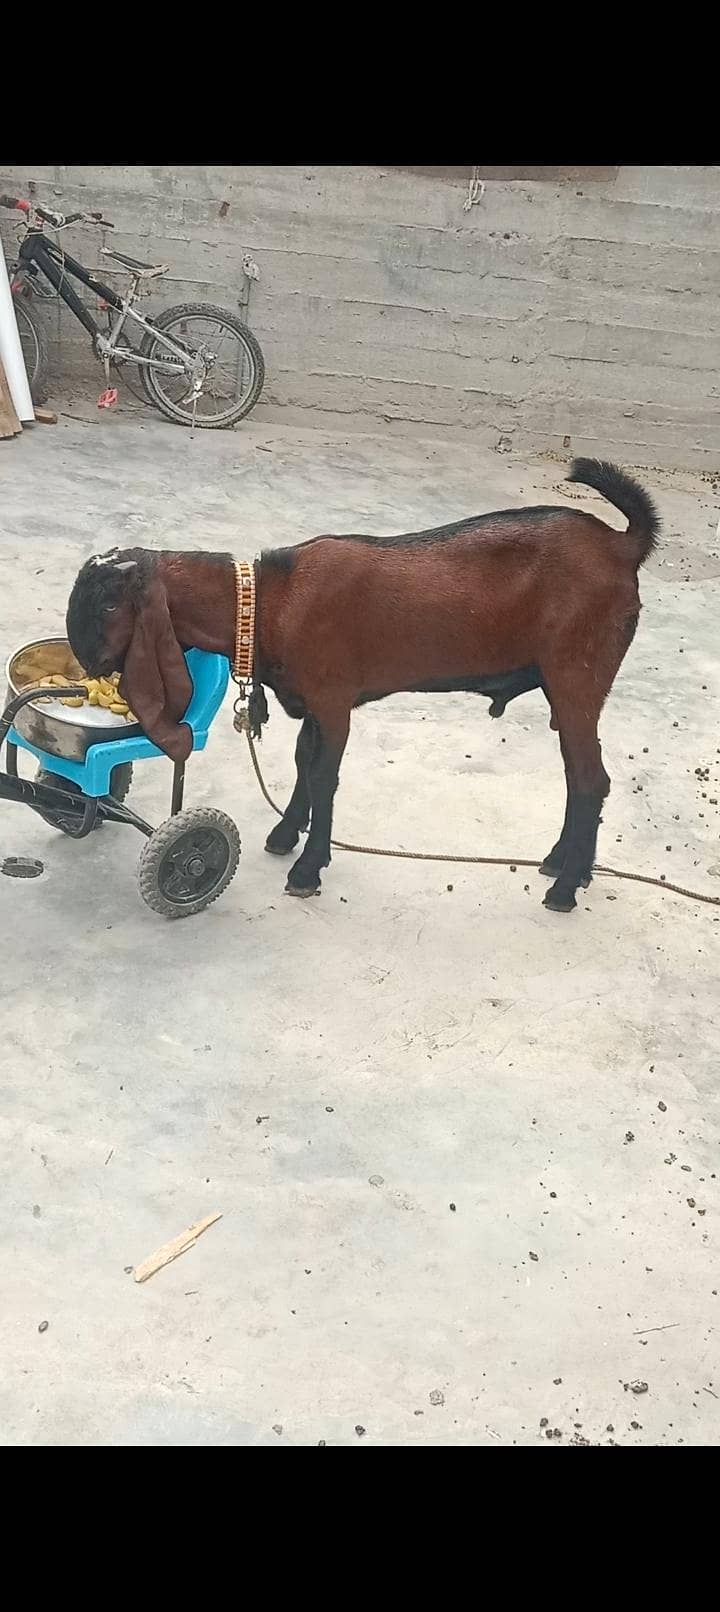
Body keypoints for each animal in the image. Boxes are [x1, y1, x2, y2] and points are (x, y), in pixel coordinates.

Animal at [66, 459, 659, 914]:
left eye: (110, 604)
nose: (84, 658)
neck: (272, 602)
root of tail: (621, 546)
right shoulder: (312, 703)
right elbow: (304, 763)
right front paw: (284, 837)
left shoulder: (334, 700)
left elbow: (325, 776)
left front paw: (307, 870)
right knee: (578, 777)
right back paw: (562, 864)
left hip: (577, 676)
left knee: (592, 780)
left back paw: (565, 887)